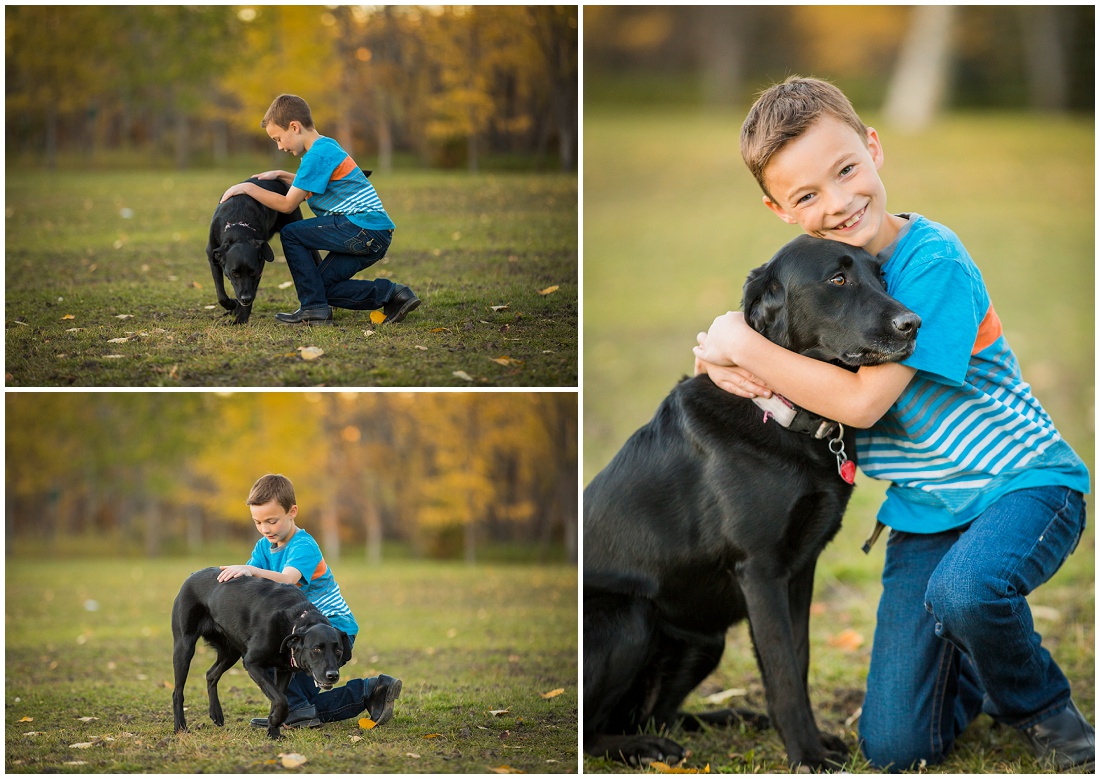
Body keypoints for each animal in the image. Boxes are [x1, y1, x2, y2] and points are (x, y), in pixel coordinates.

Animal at [169, 567, 349, 734]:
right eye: (316, 649)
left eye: (339, 650)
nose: (332, 675)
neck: (295, 620)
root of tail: (193, 575)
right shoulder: (252, 663)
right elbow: (281, 700)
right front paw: (275, 722)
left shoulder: (284, 671)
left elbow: (278, 699)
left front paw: (274, 732)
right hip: (184, 647)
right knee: (178, 692)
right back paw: (180, 727)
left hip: (230, 653)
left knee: (211, 675)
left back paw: (216, 714)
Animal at [205, 178, 319, 323]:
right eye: (234, 273)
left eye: (253, 272)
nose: (246, 299)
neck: (238, 230)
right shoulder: (212, 255)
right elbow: (221, 294)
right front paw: (232, 305)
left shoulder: (260, 266)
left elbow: (252, 289)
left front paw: (241, 319)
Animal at [585, 234, 919, 770]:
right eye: (838, 279)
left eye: (881, 277)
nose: (914, 324)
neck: (786, 413)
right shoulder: (760, 569)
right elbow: (782, 672)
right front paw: (807, 755)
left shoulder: (800, 570)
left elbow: (797, 659)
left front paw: (813, 741)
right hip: (629, 617)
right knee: (596, 729)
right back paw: (642, 749)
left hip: (706, 639)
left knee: (653, 715)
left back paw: (728, 718)